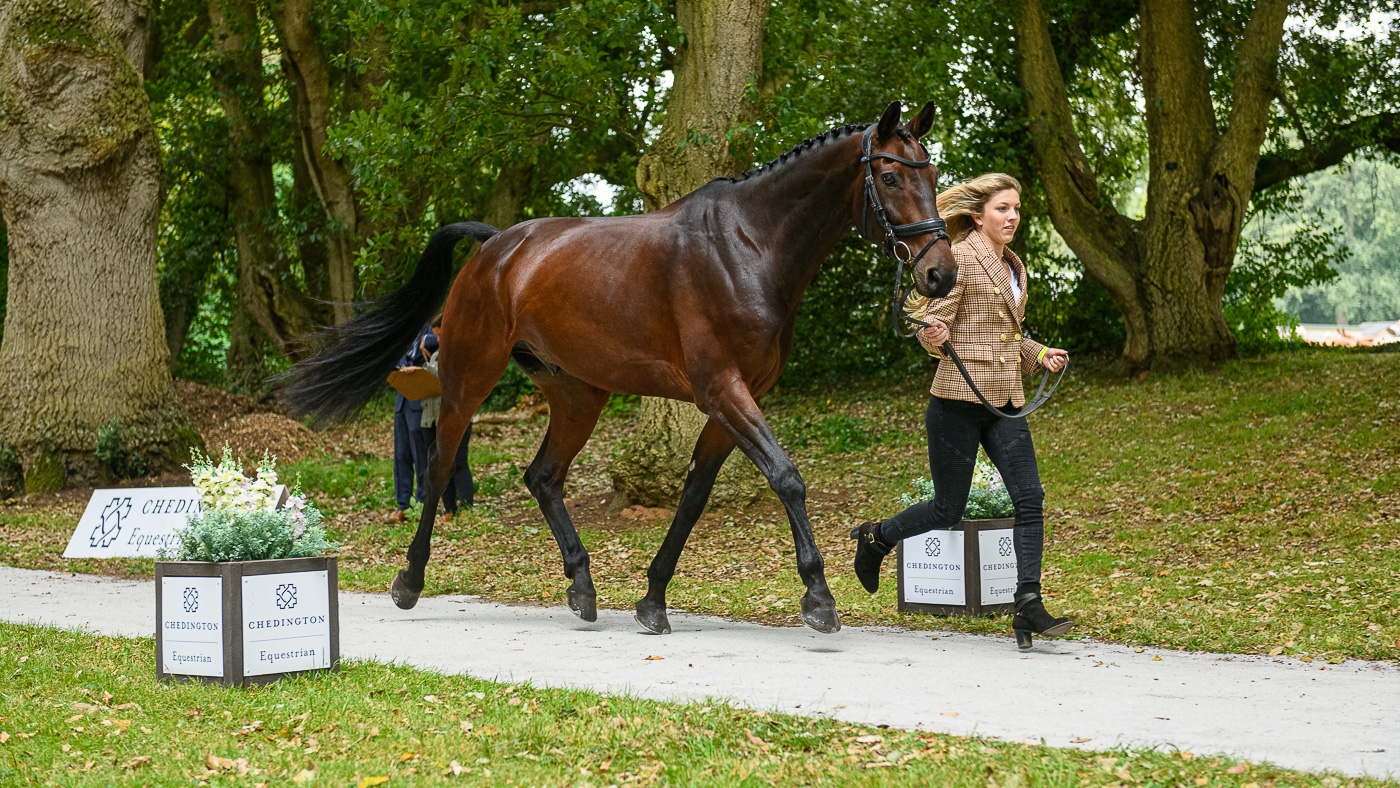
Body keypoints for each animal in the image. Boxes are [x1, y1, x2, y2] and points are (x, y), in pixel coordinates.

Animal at [280, 101, 957, 635]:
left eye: (932, 171)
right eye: (890, 175)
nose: (939, 274)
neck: (747, 246)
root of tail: (496, 246)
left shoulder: (734, 399)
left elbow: (694, 495)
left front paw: (653, 599)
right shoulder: (723, 391)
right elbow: (786, 477)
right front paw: (817, 596)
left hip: (579, 394)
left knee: (543, 477)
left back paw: (582, 587)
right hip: (469, 381)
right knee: (442, 465)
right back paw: (410, 580)